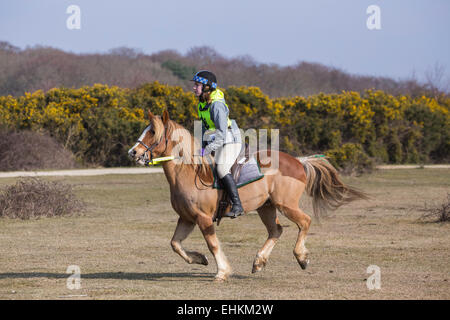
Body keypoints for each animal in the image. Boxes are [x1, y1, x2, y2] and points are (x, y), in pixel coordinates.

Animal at [128, 111, 368, 282]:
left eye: (152, 132)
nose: (133, 153)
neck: (189, 171)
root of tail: (299, 162)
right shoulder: (187, 218)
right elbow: (175, 244)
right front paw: (200, 259)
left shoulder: (203, 219)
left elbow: (213, 245)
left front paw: (222, 272)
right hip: (266, 207)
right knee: (276, 230)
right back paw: (259, 262)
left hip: (286, 205)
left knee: (305, 222)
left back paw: (301, 257)